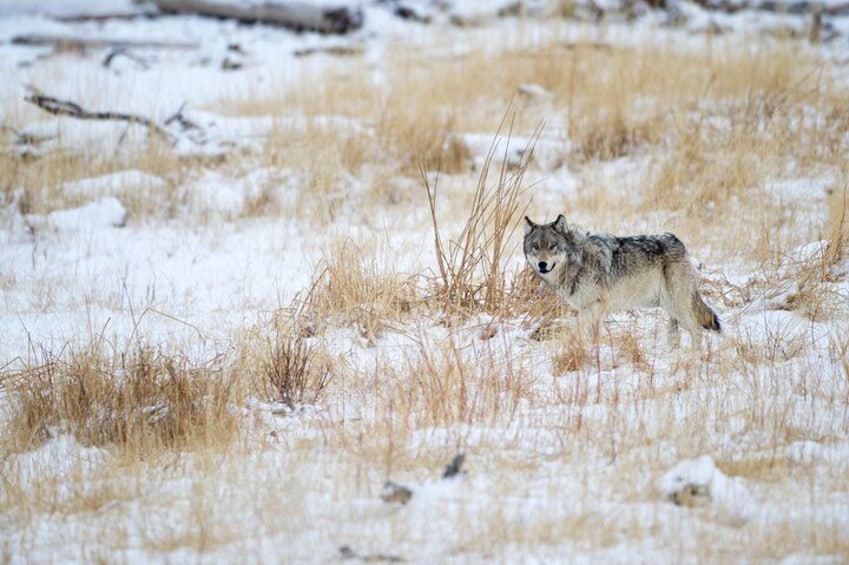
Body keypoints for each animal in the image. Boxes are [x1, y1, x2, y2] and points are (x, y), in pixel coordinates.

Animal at [520, 214, 720, 346]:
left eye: (552, 246)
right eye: (535, 247)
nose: (542, 264)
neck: (579, 261)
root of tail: (678, 241)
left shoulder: (597, 306)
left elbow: (574, 325)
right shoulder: (590, 309)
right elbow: (593, 335)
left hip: (677, 305)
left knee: (697, 330)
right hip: (669, 308)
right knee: (675, 335)